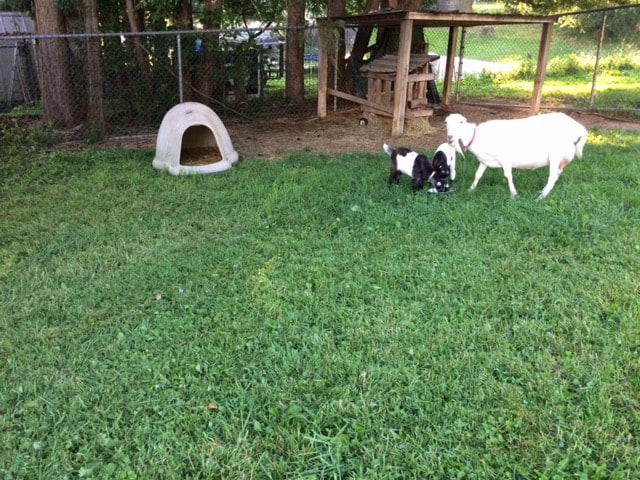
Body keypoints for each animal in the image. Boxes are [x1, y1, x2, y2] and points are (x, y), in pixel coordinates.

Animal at [442, 113, 588, 199]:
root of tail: (578, 128)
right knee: (557, 174)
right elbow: (477, 175)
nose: (450, 137)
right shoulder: (485, 161)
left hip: (555, 155)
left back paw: (541, 197)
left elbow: (508, 176)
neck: (476, 136)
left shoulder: (505, 158)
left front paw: (514, 194)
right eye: (446, 122)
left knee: (552, 177)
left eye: (461, 122)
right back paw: (542, 192)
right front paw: (470, 190)